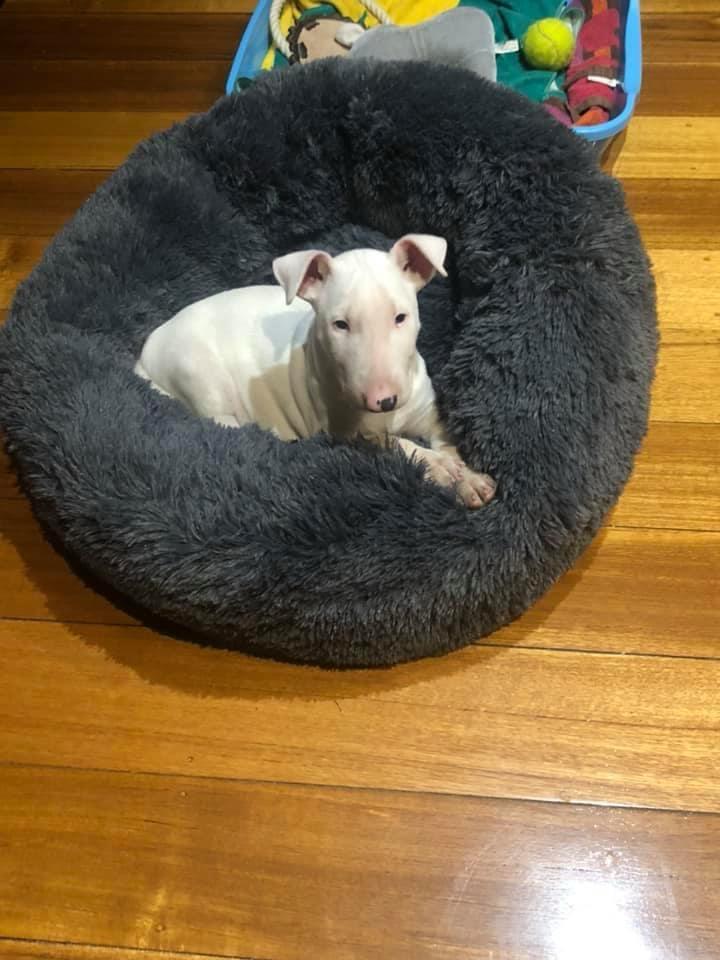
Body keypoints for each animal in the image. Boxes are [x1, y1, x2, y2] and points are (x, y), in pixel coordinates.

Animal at [135, 234, 496, 508]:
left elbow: (447, 439)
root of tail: (146, 353)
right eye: (340, 324)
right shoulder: (346, 432)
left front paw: (468, 478)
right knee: (225, 424)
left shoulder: (427, 412)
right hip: (200, 375)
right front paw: (441, 468)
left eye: (400, 317)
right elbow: (395, 443)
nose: (384, 400)